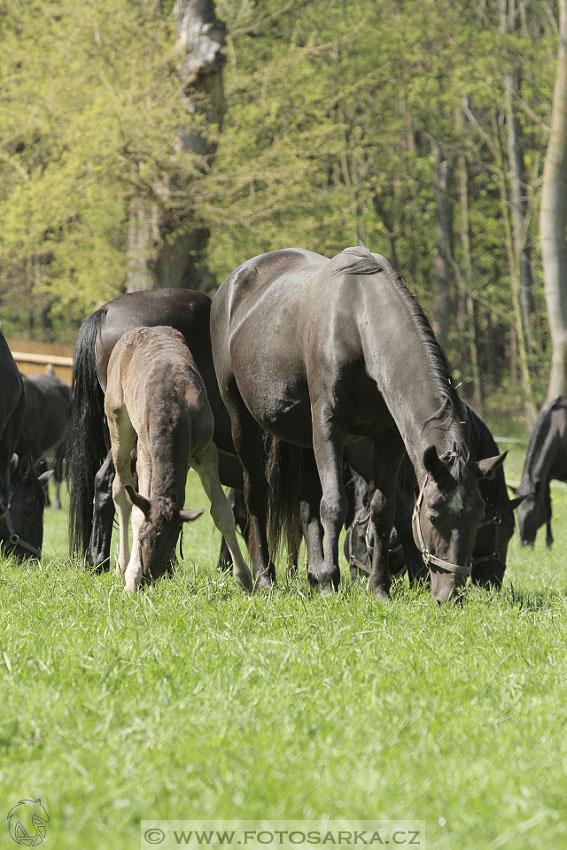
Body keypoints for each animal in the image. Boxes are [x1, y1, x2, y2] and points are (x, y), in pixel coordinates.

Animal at [212, 245, 506, 600]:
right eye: (433, 514)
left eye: (478, 515)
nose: (451, 593)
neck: (358, 323)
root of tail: (231, 284)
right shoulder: (328, 427)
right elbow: (334, 505)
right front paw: (331, 582)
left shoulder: (388, 439)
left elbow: (382, 510)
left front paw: (379, 587)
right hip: (242, 420)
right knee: (256, 496)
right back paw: (265, 577)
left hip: (302, 437)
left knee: (307, 507)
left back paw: (313, 574)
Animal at [516, 396, 567, 548]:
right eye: (516, 511)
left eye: (533, 510)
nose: (525, 543)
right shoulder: (545, 479)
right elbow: (548, 509)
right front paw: (548, 543)